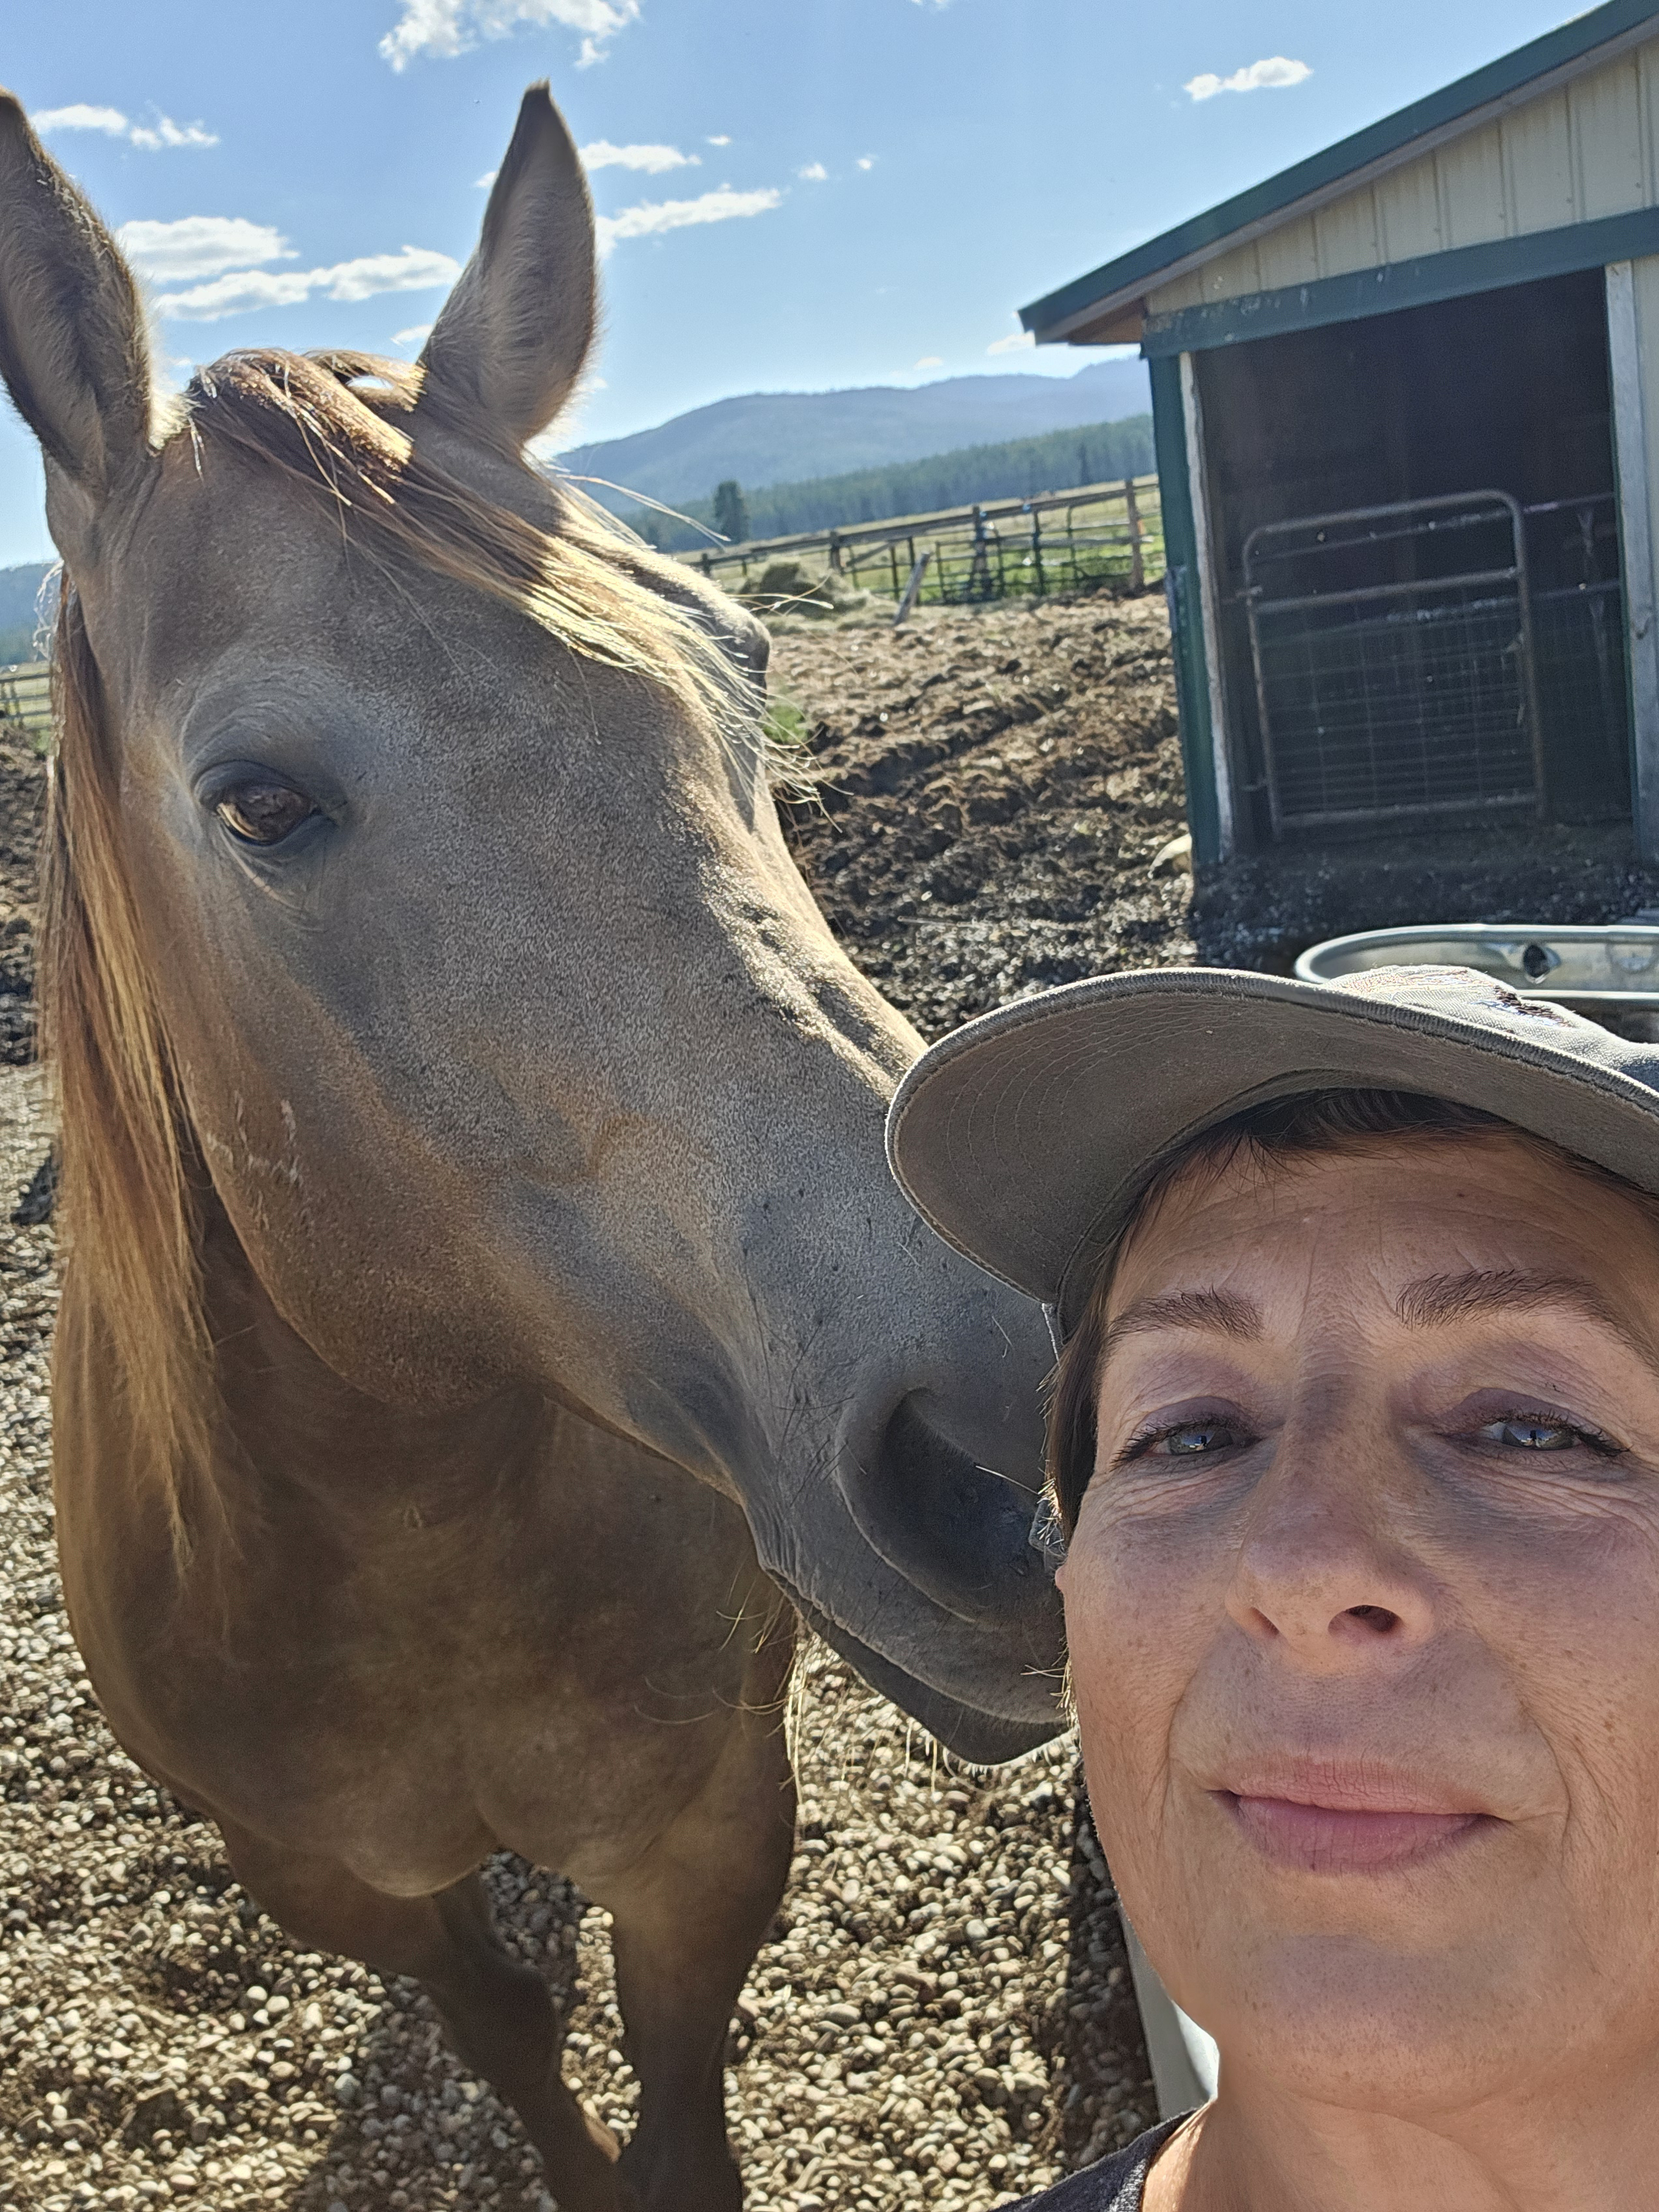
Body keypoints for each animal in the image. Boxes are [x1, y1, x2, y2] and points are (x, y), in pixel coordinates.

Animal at [0, 82, 1066, 2211]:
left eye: (745, 666)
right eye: (257, 800)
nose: (1017, 1443)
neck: (409, 1534)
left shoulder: (711, 1820)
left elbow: (677, 2097)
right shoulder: (324, 1875)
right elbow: (506, 2034)